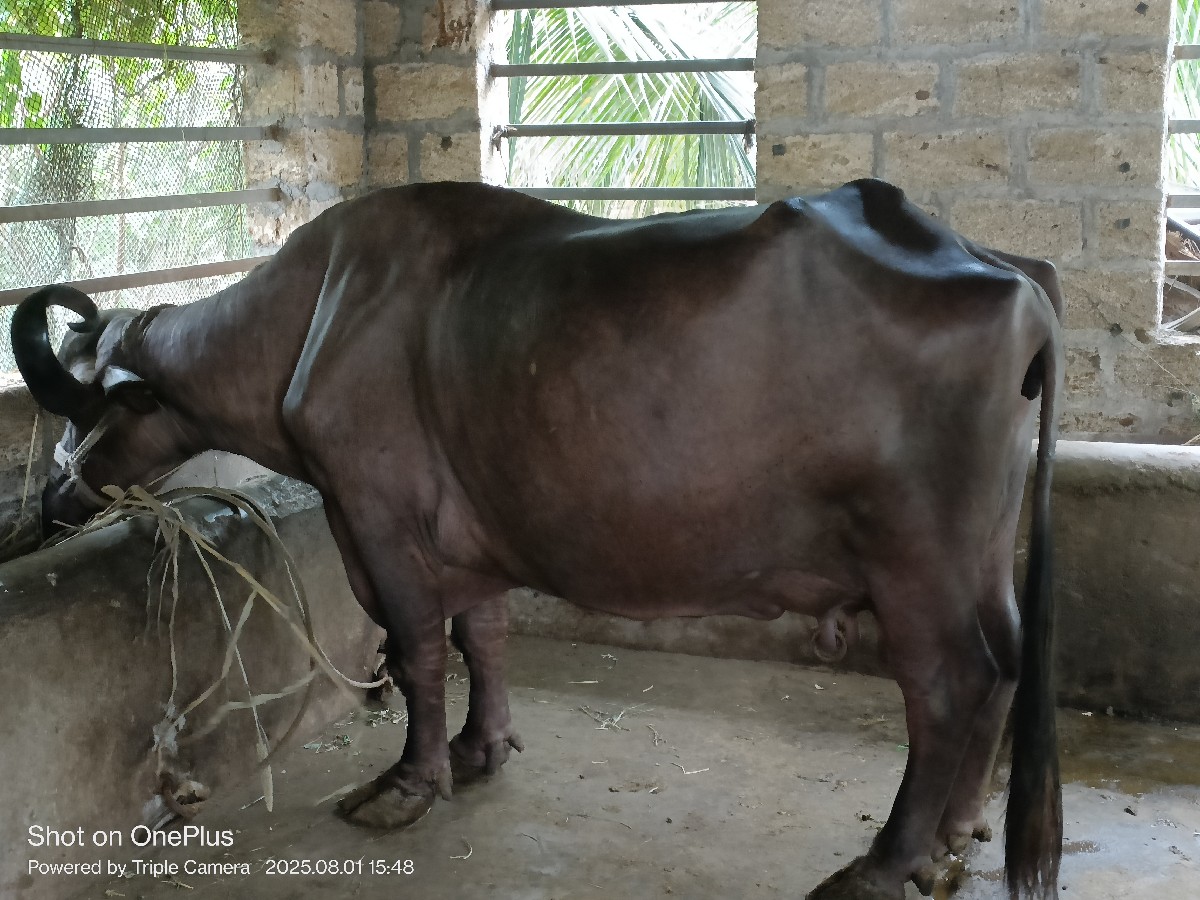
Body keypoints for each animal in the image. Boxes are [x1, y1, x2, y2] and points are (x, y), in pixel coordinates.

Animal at [12, 178, 1063, 900]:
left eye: (81, 407)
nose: (50, 497)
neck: (312, 318)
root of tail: (1006, 271)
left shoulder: (376, 517)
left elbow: (418, 649)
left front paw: (409, 782)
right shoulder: (472, 530)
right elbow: (483, 634)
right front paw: (482, 747)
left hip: (914, 554)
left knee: (948, 685)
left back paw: (884, 863)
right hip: (980, 551)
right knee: (1008, 660)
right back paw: (957, 832)